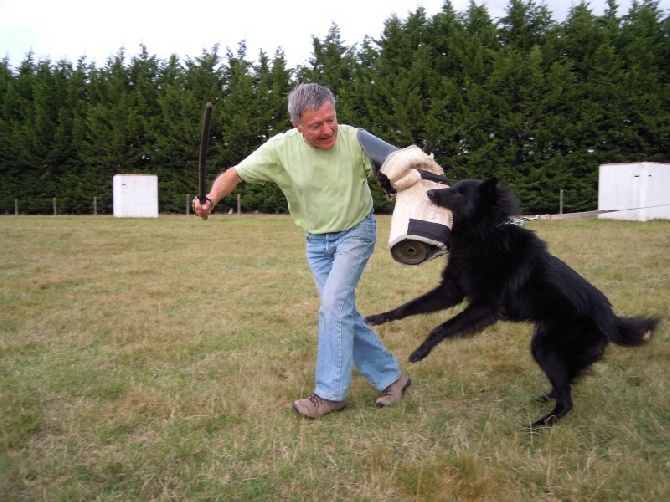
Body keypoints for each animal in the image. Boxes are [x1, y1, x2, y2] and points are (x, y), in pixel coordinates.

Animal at [364, 176, 660, 428]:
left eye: (460, 192)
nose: (429, 193)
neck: (483, 233)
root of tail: (611, 319)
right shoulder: (451, 290)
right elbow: (409, 307)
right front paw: (378, 318)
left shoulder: (484, 306)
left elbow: (442, 327)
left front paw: (420, 352)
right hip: (544, 347)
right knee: (565, 383)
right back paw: (547, 399)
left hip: (547, 348)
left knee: (568, 400)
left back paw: (540, 424)